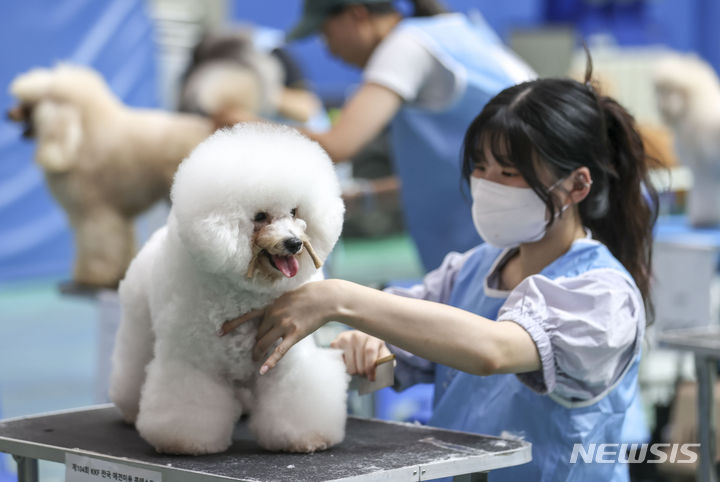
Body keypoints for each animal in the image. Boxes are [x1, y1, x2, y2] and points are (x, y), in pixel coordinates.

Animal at [107, 122, 352, 454]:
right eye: (260, 216)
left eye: (294, 211)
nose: (294, 243)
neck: (244, 295)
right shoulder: (193, 363)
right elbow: (187, 402)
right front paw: (185, 440)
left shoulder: (284, 360)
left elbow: (294, 399)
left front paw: (306, 436)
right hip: (138, 327)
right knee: (132, 366)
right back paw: (130, 409)